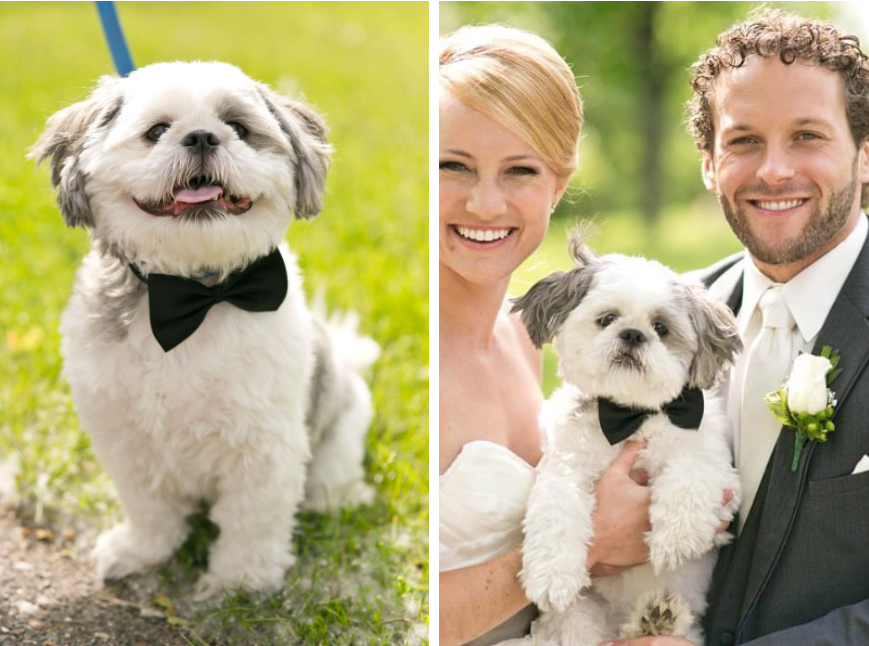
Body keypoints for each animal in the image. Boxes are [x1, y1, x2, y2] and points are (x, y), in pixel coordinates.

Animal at [32, 63, 378, 600]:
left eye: (238, 127)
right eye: (156, 131)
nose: (201, 136)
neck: (191, 293)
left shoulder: (264, 447)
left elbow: (252, 520)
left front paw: (240, 581)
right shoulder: (125, 439)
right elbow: (149, 507)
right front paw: (141, 551)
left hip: (344, 421)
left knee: (330, 475)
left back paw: (338, 495)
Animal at [512, 234, 744, 646]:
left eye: (661, 327)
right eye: (607, 319)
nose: (633, 334)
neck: (631, 417)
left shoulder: (723, 479)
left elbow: (691, 475)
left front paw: (676, 538)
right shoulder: (564, 468)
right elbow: (554, 513)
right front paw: (550, 575)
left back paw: (659, 617)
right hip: (580, 617)